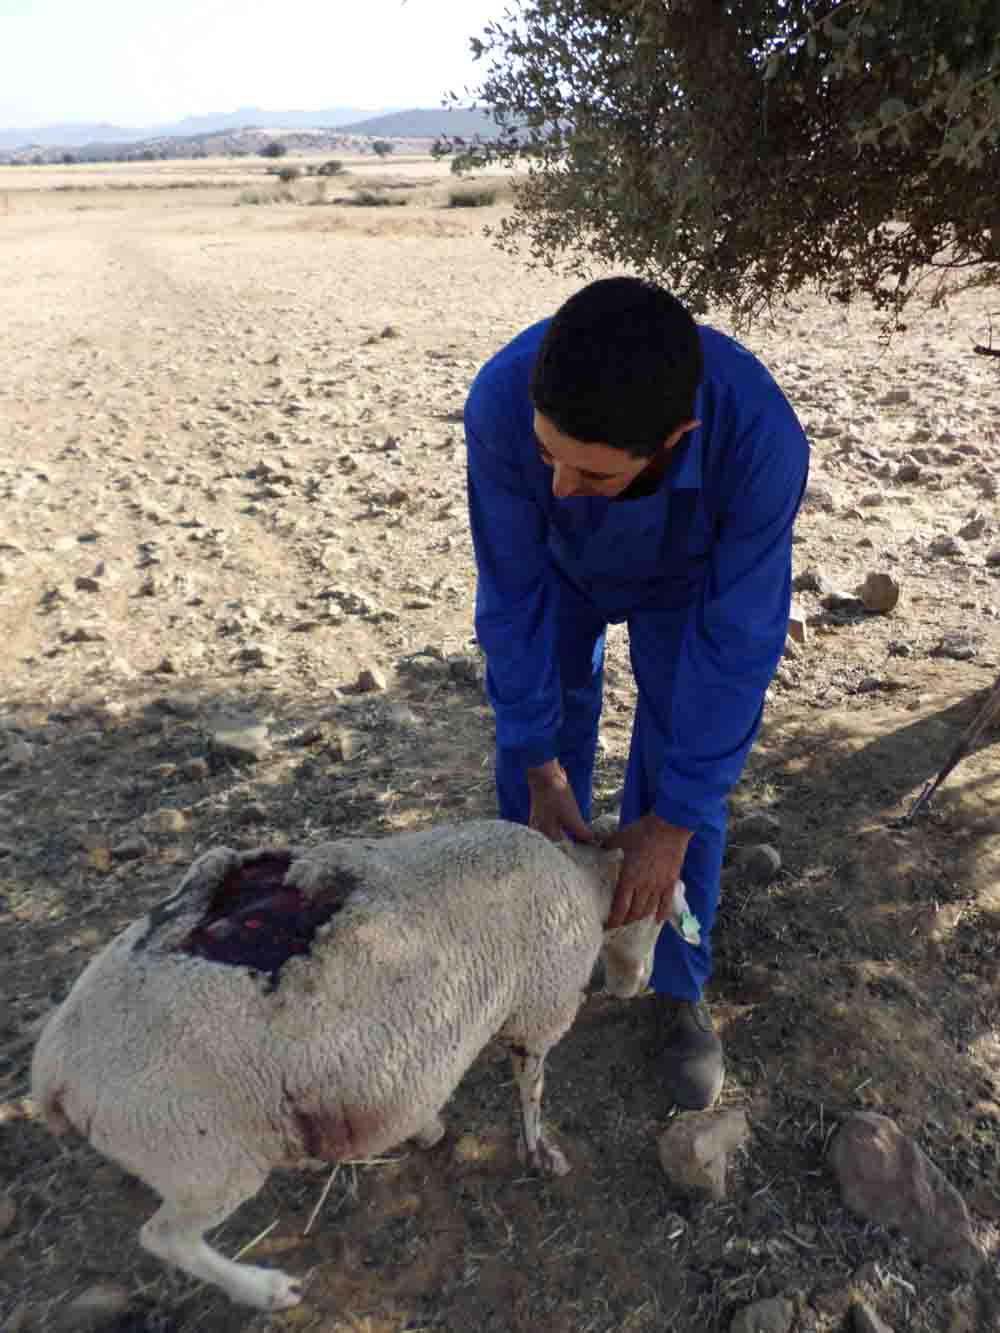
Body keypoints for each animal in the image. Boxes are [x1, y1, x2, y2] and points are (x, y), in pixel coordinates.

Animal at [33, 815, 688, 1306]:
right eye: (661, 914)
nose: (638, 985)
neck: (582, 883)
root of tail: (53, 1070)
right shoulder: (538, 1007)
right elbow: (531, 1089)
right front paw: (541, 1153)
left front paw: (429, 1129)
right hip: (198, 1154)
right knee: (165, 1238)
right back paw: (265, 1290)